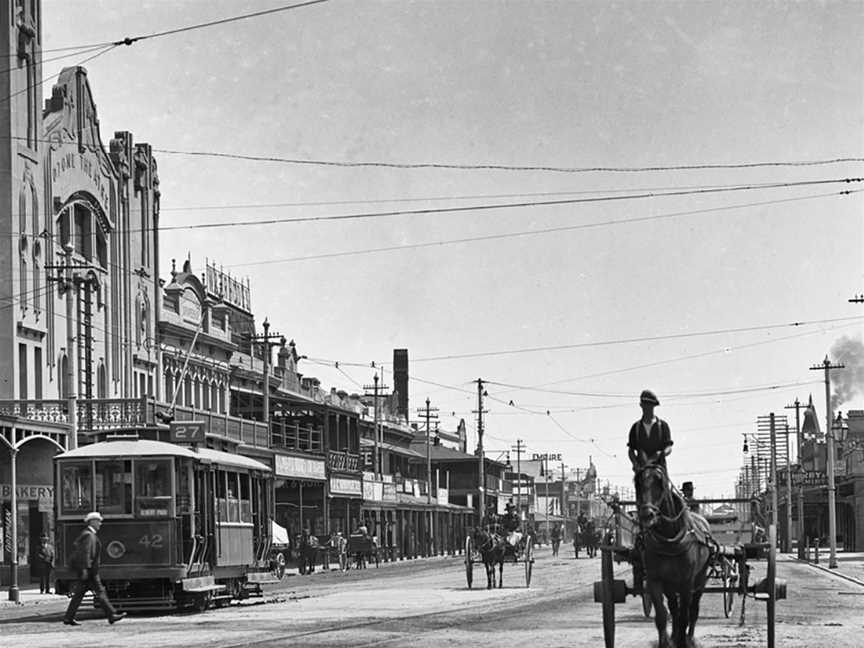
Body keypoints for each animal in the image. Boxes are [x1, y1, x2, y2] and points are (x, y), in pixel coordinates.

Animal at [636, 450, 716, 648]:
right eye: (638, 481)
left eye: (660, 481)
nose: (647, 515)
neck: (669, 540)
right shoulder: (655, 580)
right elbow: (662, 615)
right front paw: (666, 641)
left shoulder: (687, 582)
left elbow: (685, 615)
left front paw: (683, 641)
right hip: (671, 585)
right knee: (673, 608)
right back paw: (674, 636)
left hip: (700, 579)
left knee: (693, 609)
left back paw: (690, 638)